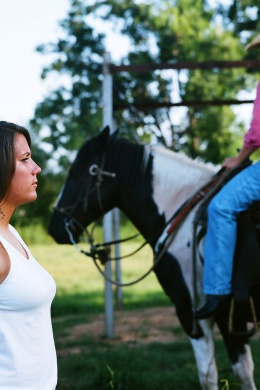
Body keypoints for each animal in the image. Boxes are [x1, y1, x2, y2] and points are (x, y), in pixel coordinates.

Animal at [49, 126, 256, 388]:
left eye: (75, 173)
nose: (53, 227)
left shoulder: (194, 315)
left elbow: (208, 376)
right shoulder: (231, 317)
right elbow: (244, 371)